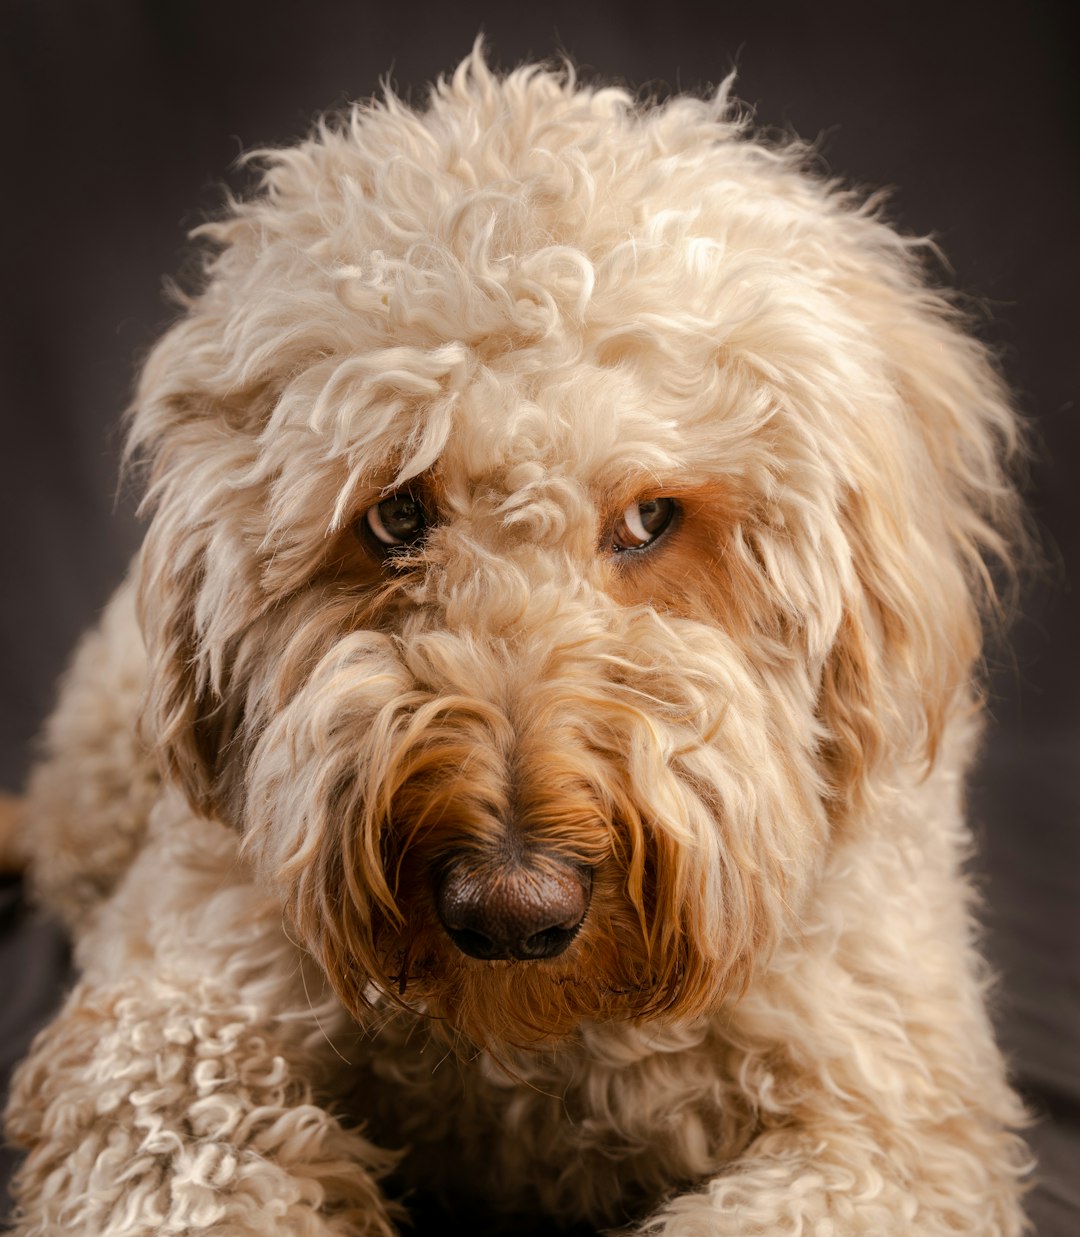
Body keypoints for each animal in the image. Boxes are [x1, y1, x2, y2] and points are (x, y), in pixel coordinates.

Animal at [4, 48, 1029, 1237]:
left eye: (650, 517)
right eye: (396, 514)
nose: (510, 908)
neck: (529, 1049)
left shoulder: (893, 1114)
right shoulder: (172, 1003)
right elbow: (182, 1119)